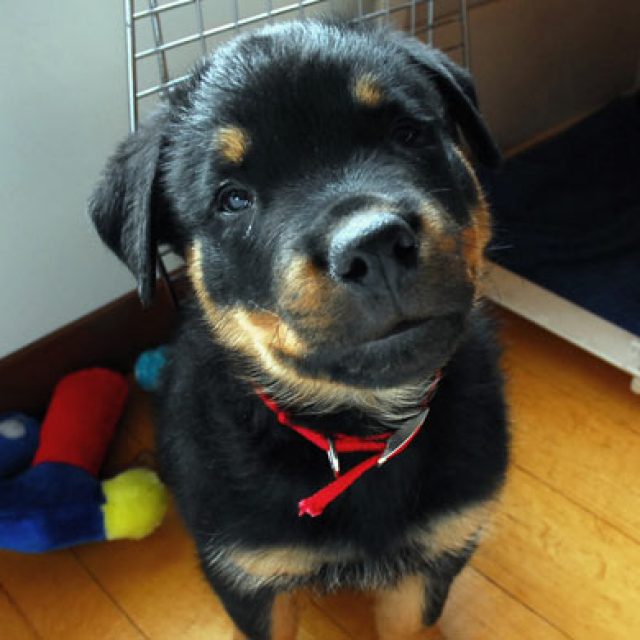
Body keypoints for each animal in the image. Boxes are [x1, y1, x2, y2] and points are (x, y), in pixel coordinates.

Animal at [89, 19, 509, 640]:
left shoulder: (439, 547)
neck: (358, 431)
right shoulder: (249, 572)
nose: (373, 244)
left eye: (408, 134)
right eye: (233, 199)